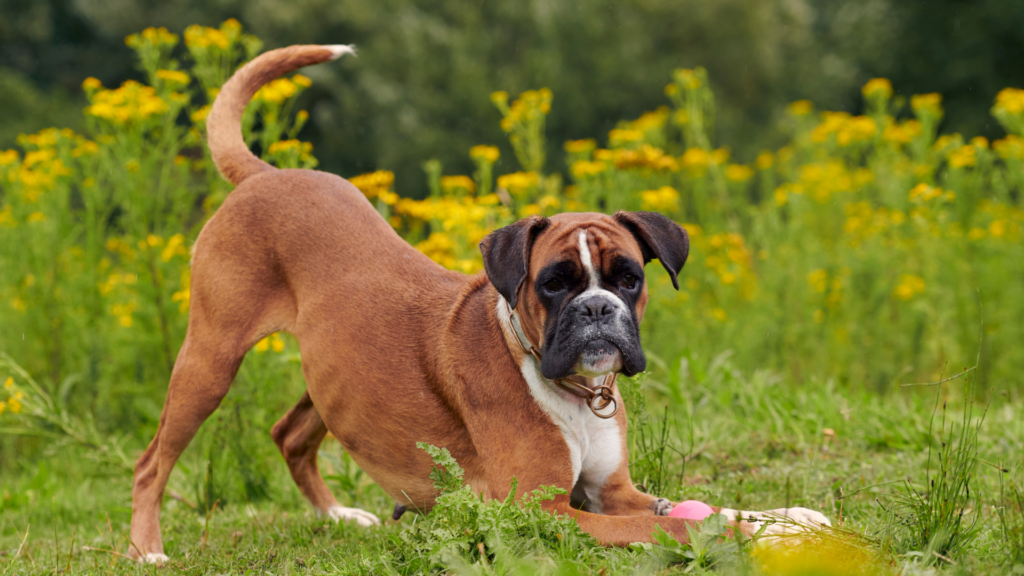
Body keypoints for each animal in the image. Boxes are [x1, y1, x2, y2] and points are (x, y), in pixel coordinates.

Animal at [128, 43, 831, 561]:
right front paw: (761, 535)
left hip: (332, 376)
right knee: (150, 462)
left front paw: (788, 516)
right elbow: (682, 523)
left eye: (628, 277)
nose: (597, 310)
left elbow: (704, 504)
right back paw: (148, 550)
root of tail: (265, 176)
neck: (571, 390)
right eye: (555, 283)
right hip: (210, 360)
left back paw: (340, 516)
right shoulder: (550, 511)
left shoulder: (614, 492)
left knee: (290, 434)